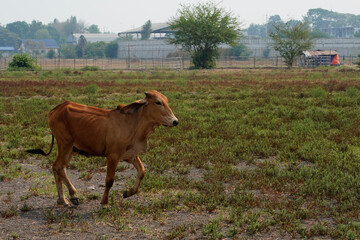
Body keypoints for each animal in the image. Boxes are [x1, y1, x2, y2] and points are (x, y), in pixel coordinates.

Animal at [26, 90, 178, 206]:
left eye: (166, 101)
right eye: (158, 102)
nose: (175, 121)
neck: (134, 123)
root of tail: (55, 110)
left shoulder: (130, 155)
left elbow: (142, 171)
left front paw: (128, 192)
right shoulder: (113, 156)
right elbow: (109, 181)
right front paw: (104, 203)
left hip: (70, 149)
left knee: (58, 167)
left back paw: (62, 199)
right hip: (65, 145)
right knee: (58, 167)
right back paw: (73, 195)